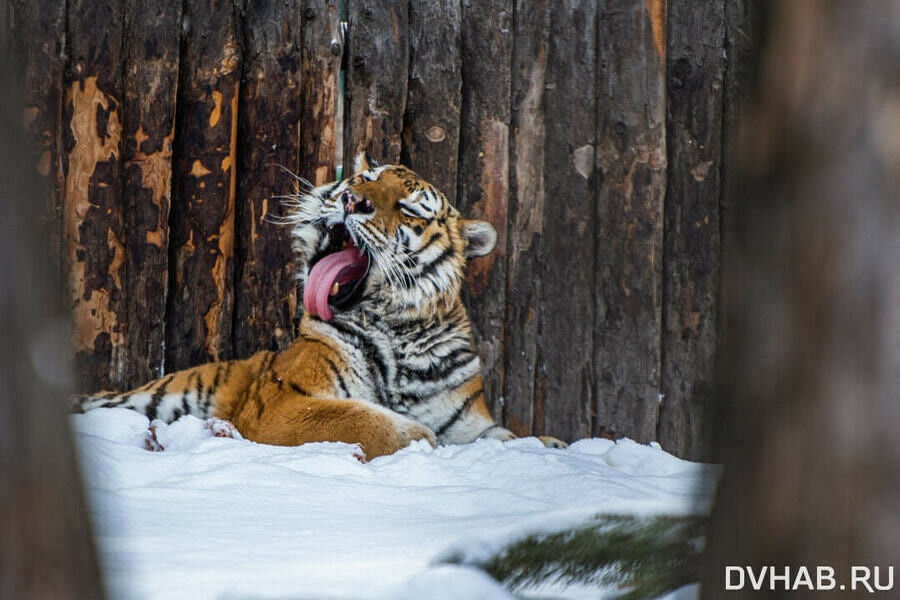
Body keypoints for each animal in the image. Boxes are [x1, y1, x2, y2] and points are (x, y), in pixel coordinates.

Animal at [74, 155, 564, 460]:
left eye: (408, 208)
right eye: (365, 180)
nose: (351, 200)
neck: (400, 332)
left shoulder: (470, 424)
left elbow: (514, 438)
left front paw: (553, 447)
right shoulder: (284, 402)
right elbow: (362, 420)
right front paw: (418, 441)